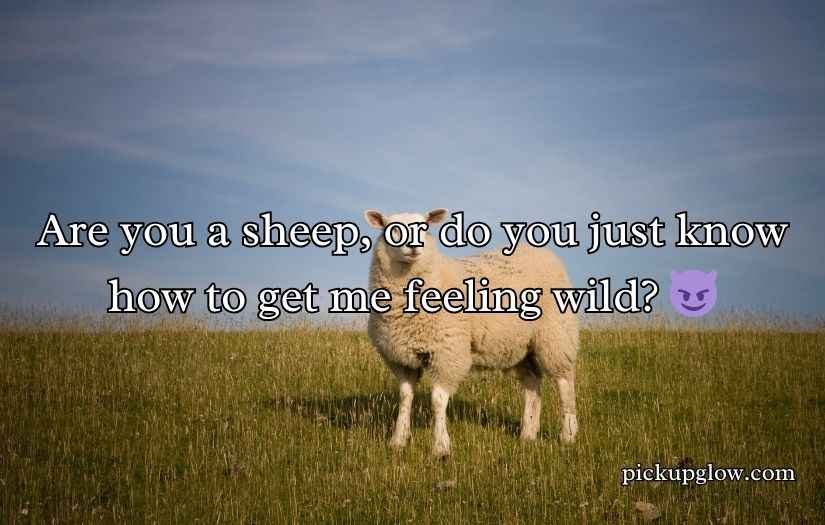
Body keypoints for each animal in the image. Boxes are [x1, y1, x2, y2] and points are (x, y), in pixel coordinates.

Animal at [364, 208, 579, 458]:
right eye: (393, 229)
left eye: (424, 227)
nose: (414, 247)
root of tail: (541, 251)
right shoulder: (401, 359)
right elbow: (405, 397)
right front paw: (398, 440)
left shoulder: (447, 352)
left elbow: (438, 400)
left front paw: (441, 447)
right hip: (520, 346)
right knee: (532, 384)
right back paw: (528, 433)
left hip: (556, 334)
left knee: (564, 382)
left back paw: (568, 435)